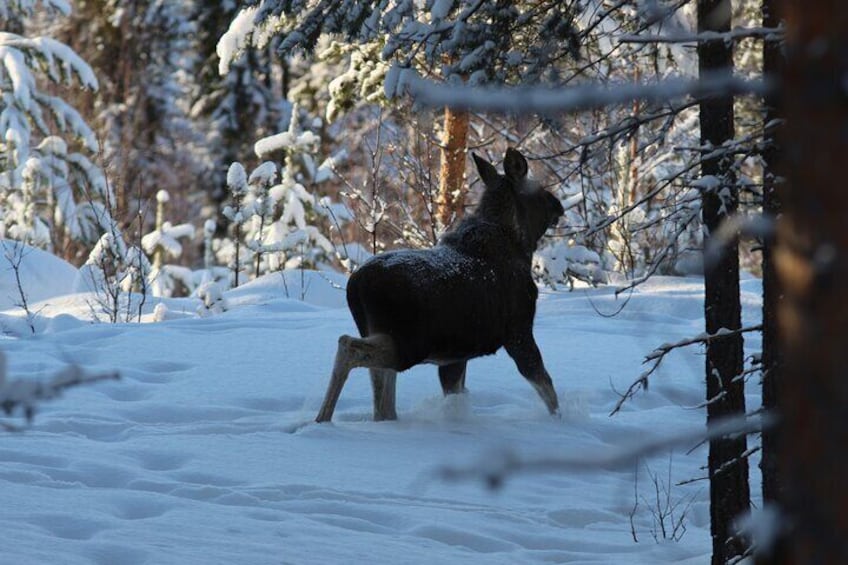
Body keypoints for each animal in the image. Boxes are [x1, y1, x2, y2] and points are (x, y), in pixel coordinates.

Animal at [316, 148, 564, 420]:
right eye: (540, 190)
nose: (559, 206)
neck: (523, 246)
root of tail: (355, 287)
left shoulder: (455, 356)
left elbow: (456, 390)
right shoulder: (518, 330)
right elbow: (546, 386)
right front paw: (562, 422)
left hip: (382, 333)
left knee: (381, 393)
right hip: (407, 344)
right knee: (348, 347)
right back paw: (323, 419)